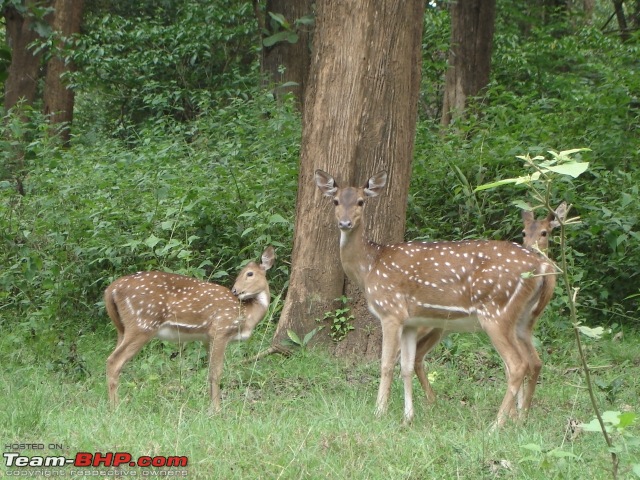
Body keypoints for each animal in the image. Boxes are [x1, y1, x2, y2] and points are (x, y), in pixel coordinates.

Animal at [105, 248, 276, 408]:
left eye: (249, 273)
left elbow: (209, 372)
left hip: (122, 328)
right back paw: (115, 407)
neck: (247, 315)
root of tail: (111, 289)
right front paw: (217, 410)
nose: (235, 290)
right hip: (142, 324)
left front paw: (210, 407)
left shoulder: (207, 338)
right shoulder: (220, 329)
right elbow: (216, 373)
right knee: (113, 361)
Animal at [316, 170, 556, 428]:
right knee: (534, 361)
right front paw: (408, 417)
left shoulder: (391, 311)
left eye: (361, 201)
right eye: (335, 201)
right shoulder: (410, 321)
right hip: (523, 319)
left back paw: (496, 425)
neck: (370, 266)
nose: (345, 223)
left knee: (517, 364)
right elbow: (406, 366)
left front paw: (379, 412)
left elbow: (386, 364)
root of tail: (542, 264)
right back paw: (520, 419)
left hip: (496, 312)